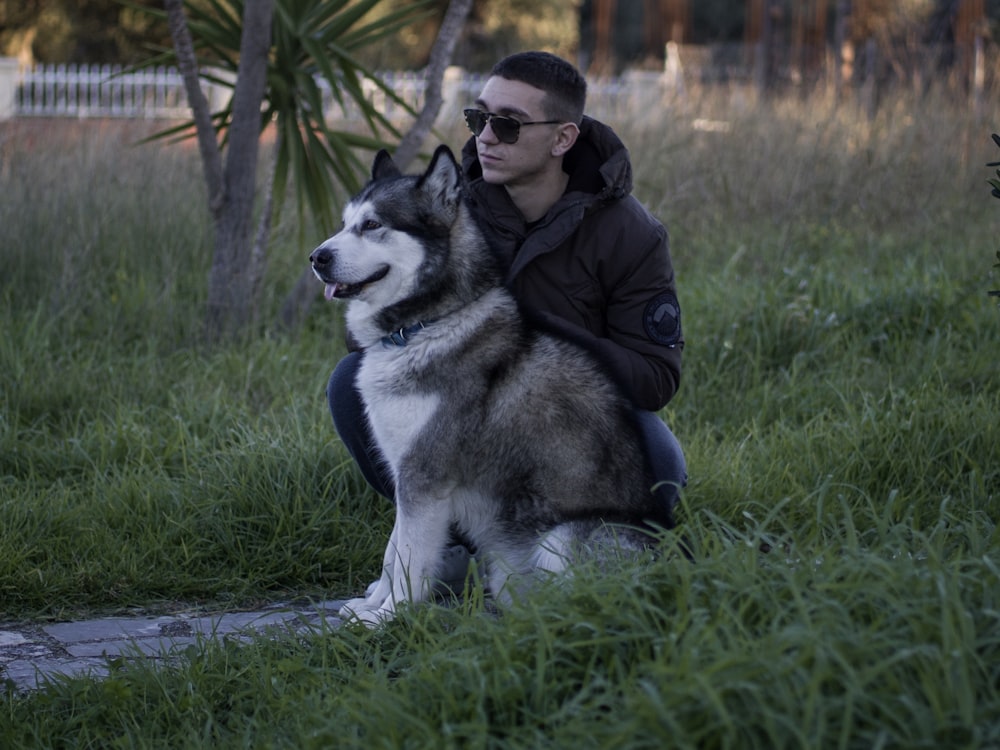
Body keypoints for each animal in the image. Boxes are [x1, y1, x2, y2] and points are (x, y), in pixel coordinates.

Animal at [310, 147, 672, 628]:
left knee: (584, 603)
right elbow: (393, 551)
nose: (316, 257)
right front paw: (372, 606)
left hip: (561, 538)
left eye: (372, 225)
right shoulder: (408, 473)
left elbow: (408, 556)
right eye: (345, 222)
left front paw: (389, 616)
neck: (425, 326)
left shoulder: (424, 476)